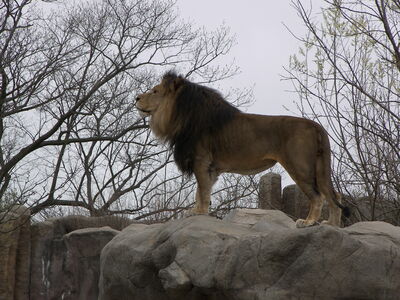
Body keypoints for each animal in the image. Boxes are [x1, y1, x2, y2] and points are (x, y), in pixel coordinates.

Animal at [136, 72, 348, 227]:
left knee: (318, 196)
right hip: (319, 168)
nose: (136, 98)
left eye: (154, 91)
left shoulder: (201, 161)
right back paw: (331, 225)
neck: (181, 117)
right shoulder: (209, 167)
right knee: (334, 196)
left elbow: (202, 191)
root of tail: (316, 125)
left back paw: (309, 222)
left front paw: (200, 213)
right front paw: (197, 212)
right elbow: (201, 191)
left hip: (300, 166)